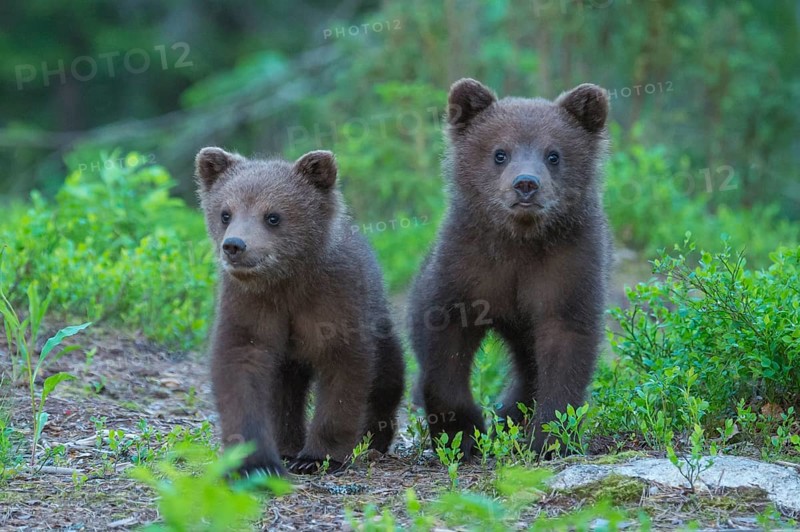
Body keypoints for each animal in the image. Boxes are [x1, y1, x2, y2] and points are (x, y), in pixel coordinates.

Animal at [195, 147, 405, 475]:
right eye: (225, 213)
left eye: (273, 216)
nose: (234, 245)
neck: (287, 280)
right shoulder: (250, 304)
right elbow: (240, 364)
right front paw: (256, 461)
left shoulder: (334, 301)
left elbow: (343, 372)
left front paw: (318, 457)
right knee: (284, 393)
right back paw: (286, 446)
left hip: (378, 320)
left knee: (387, 374)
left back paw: (372, 440)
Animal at [408, 78, 612, 457]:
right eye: (500, 153)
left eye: (553, 154)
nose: (526, 184)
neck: (519, 239)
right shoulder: (466, 267)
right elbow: (444, 344)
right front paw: (462, 433)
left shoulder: (568, 266)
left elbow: (566, 345)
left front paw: (548, 437)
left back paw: (511, 416)